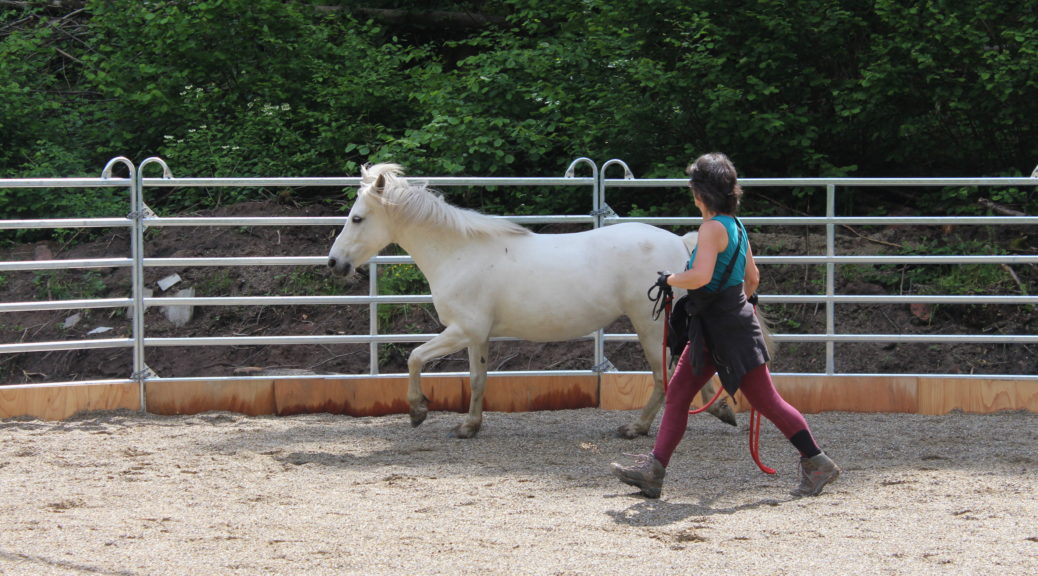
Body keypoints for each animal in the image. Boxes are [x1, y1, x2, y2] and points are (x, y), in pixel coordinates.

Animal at [328, 165, 734, 440]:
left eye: (357, 218)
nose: (334, 263)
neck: (459, 254)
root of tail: (681, 244)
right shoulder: (477, 336)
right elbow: (477, 379)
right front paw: (469, 426)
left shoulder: (461, 330)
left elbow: (414, 358)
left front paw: (417, 411)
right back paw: (722, 410)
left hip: (651, 326)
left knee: (663, 376)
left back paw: (636, 427)